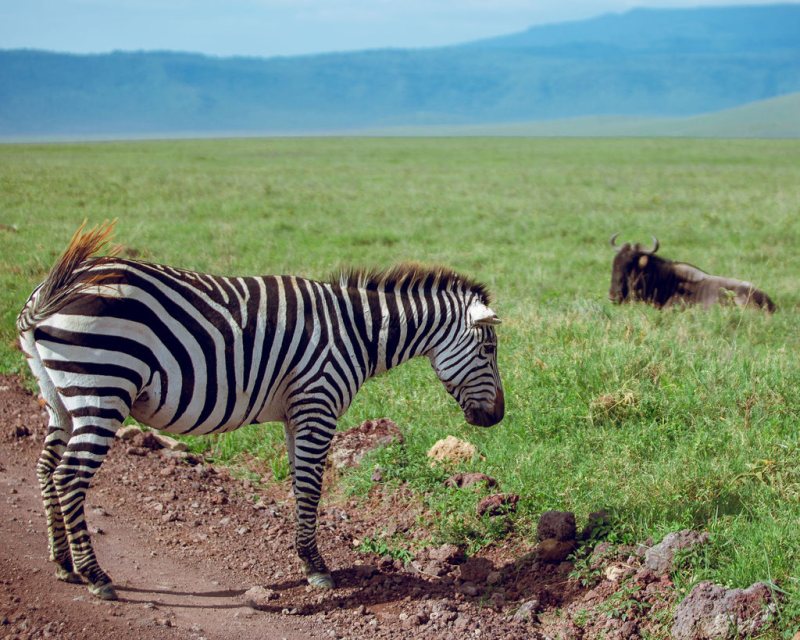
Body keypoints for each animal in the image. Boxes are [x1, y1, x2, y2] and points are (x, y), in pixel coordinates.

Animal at [17, 222, 504, 600]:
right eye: (489, 349)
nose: (498, 417)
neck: (359, 332)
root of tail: (55, 288)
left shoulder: (297, 412)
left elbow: (299, 485)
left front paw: (307, 559)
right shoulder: (317, 403)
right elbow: (310, 487)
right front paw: (316, 568)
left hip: (60, 398)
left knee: (46, 468)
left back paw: (63, 563)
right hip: (103, 391)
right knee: (69, 476)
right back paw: (95, 575)